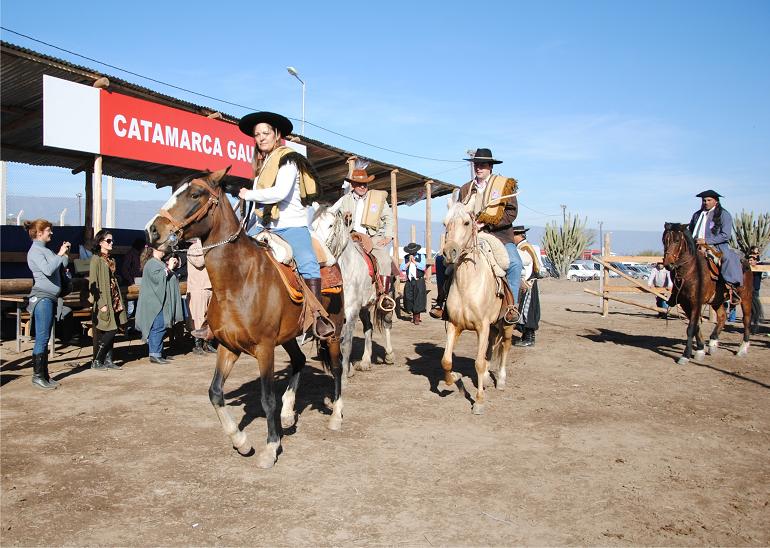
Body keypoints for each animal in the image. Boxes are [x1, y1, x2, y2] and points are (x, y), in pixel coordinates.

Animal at [145, 168, 345, 469]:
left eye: (195, 194)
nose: (153, 230)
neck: (237, 281)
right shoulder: (227, 347)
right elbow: (215, 392)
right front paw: (241, 441)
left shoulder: (264, 348)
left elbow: (267, 399)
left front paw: (270, 448)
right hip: (288, 336)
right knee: (299, 360)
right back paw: (288, 413)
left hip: (333, 331)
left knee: (337, 367)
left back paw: (335, 416)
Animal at [311, 206, 394, 381]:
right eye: (312, 226)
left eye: (330, 225)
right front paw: (348, 368)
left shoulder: (351, 310)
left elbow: (346, 342)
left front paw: (343, 374)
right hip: (364, 308)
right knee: (368, 327)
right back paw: (365, 361)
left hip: (386, 300)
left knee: (386, 323)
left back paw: (390, 355)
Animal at [439, 195, 514, 414]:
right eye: (445, 224)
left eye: (466, 222)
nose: (450, 252)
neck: (467, 285)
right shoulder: (455, 325)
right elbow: (446, 360)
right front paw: (454, 379)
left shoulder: (482, 325)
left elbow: (479, 363)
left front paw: (479, 402)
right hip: (493, 326)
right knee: (491, 347)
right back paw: (488, 378)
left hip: (507, 323)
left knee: (505, 346)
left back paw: (501, 380)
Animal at [662, 223, 754, 365]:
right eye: (664, 240)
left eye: (677, 240)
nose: (668, 264)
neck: (691, 271)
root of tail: (745, 262)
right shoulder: (685, 304)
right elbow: (696, 326)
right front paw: (700, 350)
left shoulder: (696, 302)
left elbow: (691, 328)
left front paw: (685, 355)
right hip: (717, 300)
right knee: (722, 317)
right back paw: (713, 343)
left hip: (746, 298)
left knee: (746, 320)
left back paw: (742, 349)